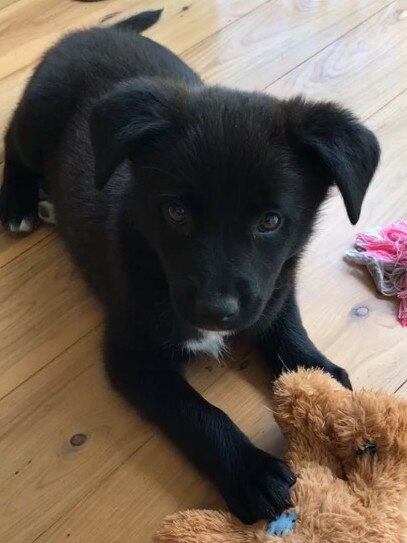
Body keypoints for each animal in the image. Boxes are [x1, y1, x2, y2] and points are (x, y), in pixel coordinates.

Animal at [0, 11, 380, 524]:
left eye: (270, 221)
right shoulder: (132, 355)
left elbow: (287, 326)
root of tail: (94, 31)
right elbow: (194, 412)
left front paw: (328, 387)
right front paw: (249, 470)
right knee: (11, 144)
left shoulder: (275, 285)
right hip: (38, 118)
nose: (215, 312)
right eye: (176, 213)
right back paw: (20, 202)